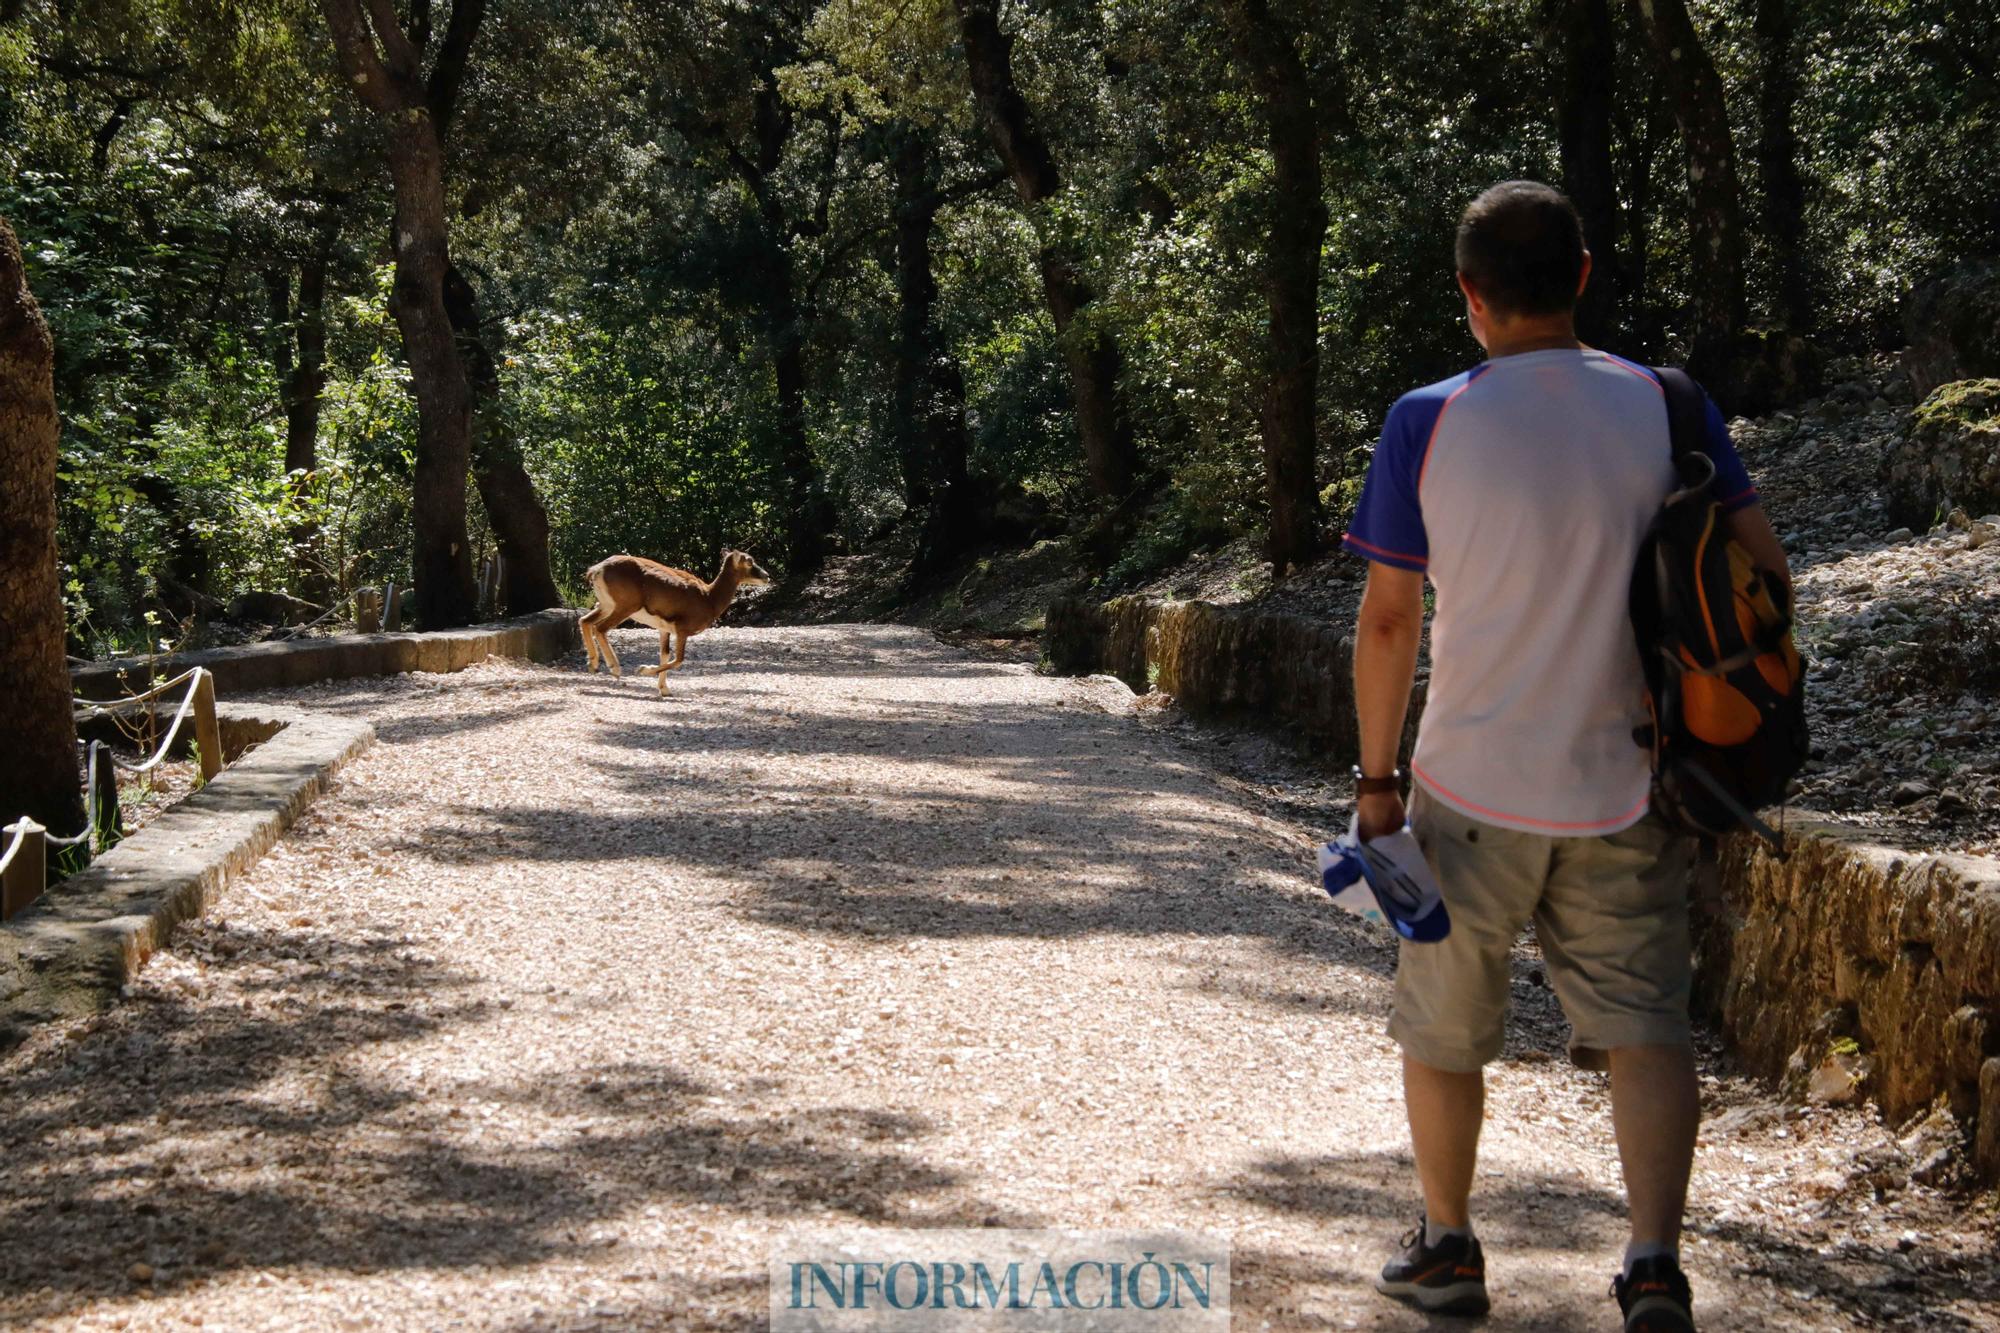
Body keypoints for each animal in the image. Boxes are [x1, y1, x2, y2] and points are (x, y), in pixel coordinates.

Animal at [584, 548, 768, 696]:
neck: (709, 597)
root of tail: (597, 570)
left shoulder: (664, 629)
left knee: (585, 621)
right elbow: (679, 659)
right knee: (600, 628)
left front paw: (665, 690)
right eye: (749, 561)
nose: (766, 576)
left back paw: (593, 665)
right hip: (624, 607)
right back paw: (615, 669)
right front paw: (642, 670)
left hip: (606, 606)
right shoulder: (682, 630)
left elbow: (665, 654)